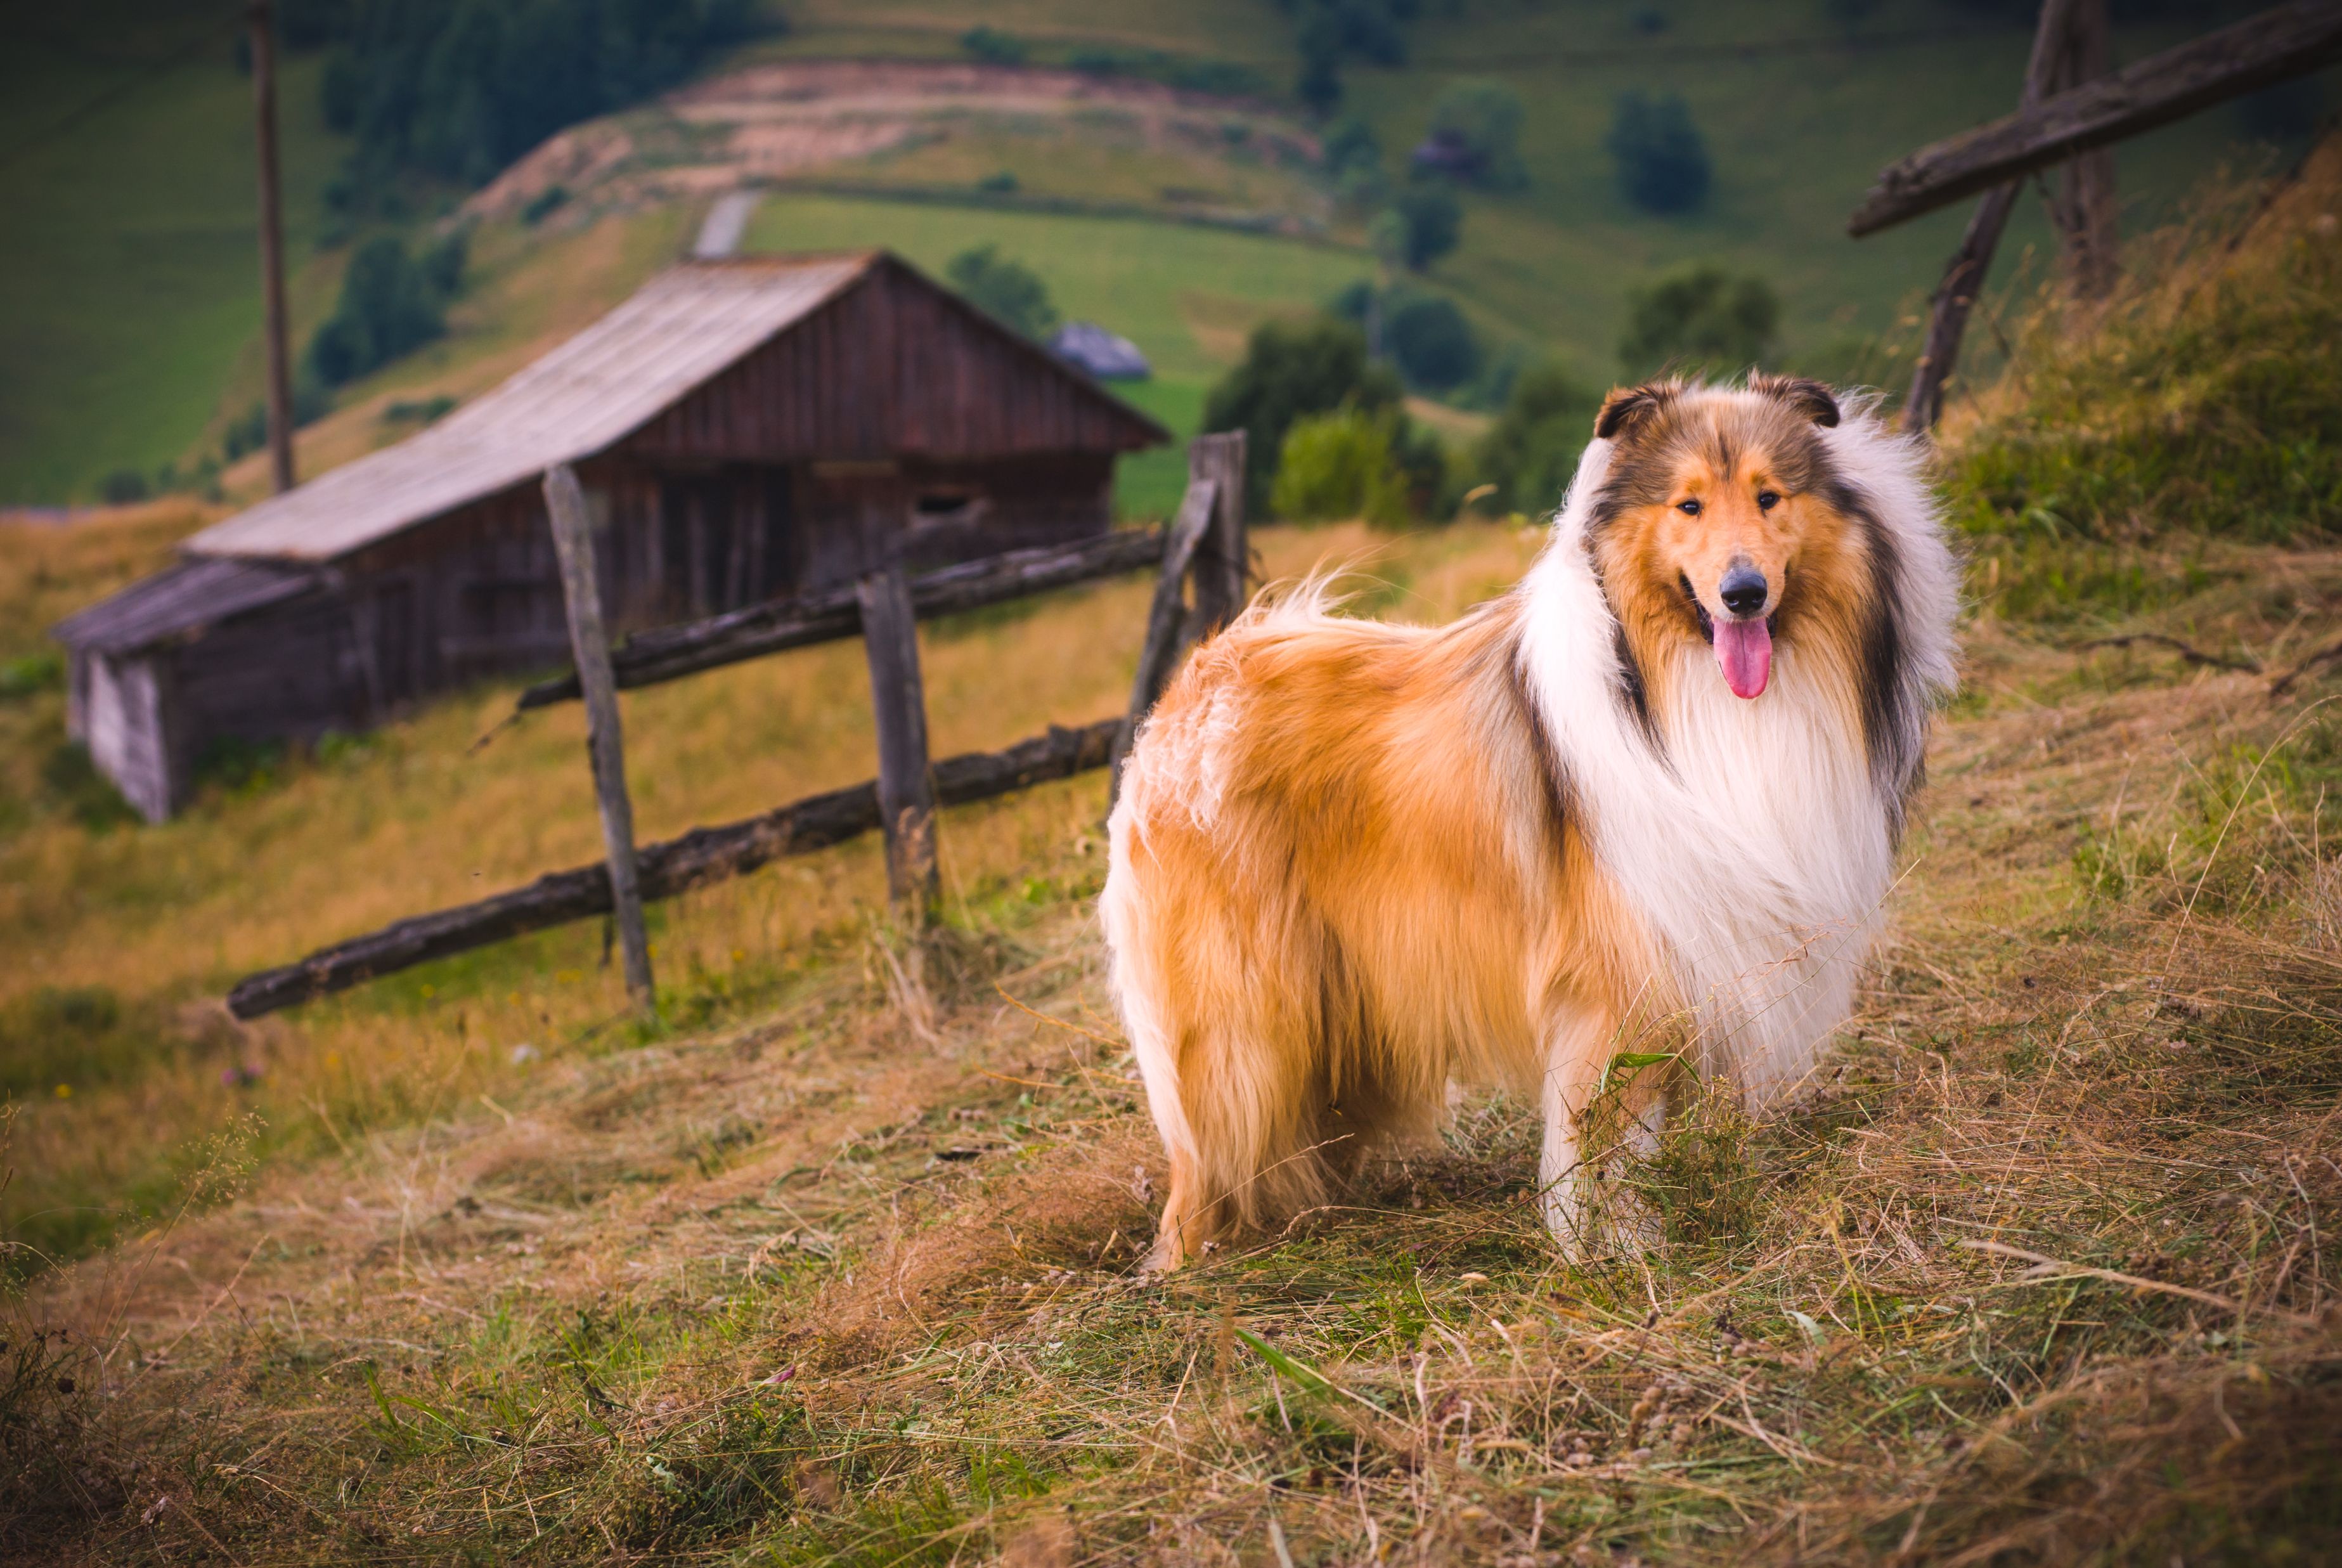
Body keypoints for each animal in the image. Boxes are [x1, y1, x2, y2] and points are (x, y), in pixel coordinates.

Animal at [1096, 372, 1958, 1266]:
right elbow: (1607, 1134)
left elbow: (1638, 1127)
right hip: (1238, 1019)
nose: (1743, 593)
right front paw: (1607, 1253)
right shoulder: (1615, 972)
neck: (1674, 686)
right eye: (1687, 505)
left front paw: (1632, 1240)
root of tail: (1192, 688)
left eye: (1768, 496)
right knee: (1202, 1148)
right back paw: (1183, 1261)